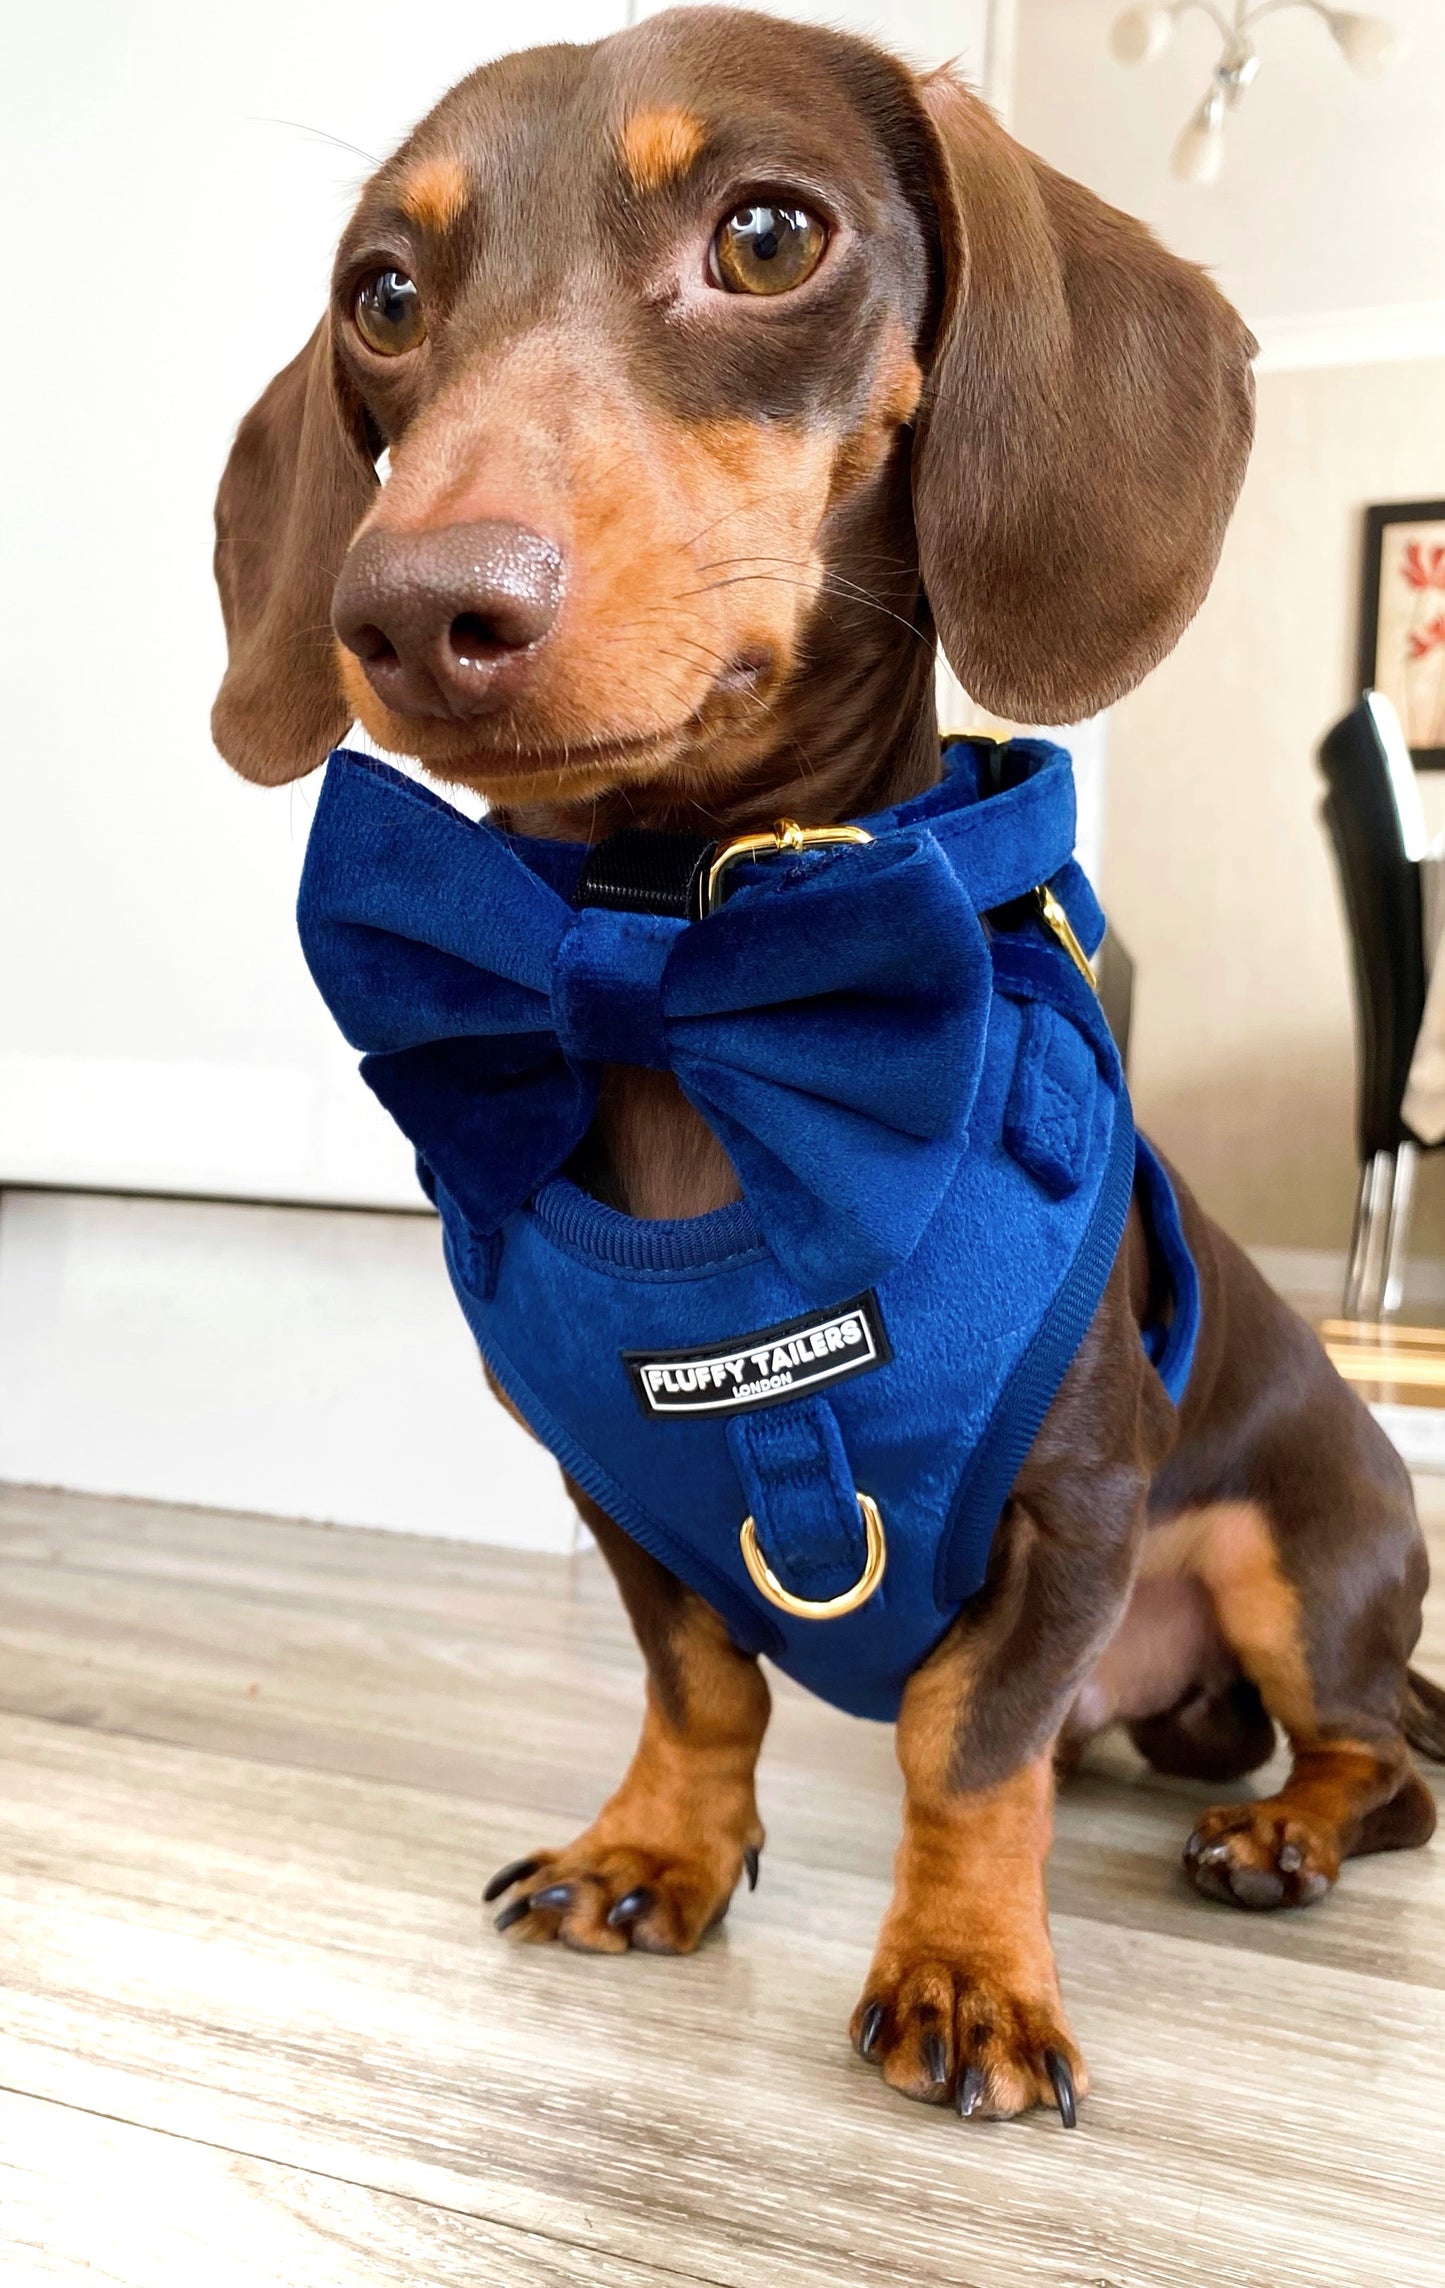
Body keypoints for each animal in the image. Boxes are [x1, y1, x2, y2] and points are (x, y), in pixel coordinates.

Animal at [214, 13, 1445, 2123]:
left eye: (768, 235)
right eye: (382, 295)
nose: (413, 609)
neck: (684, 957)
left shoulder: (1081, 1505)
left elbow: (967, 1742)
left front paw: (967, 1966)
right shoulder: (622, 1494)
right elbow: (700, 1685)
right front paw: (660, 1852)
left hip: (1303, 1554)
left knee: (1382, 1760)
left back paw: (1285, 1831)